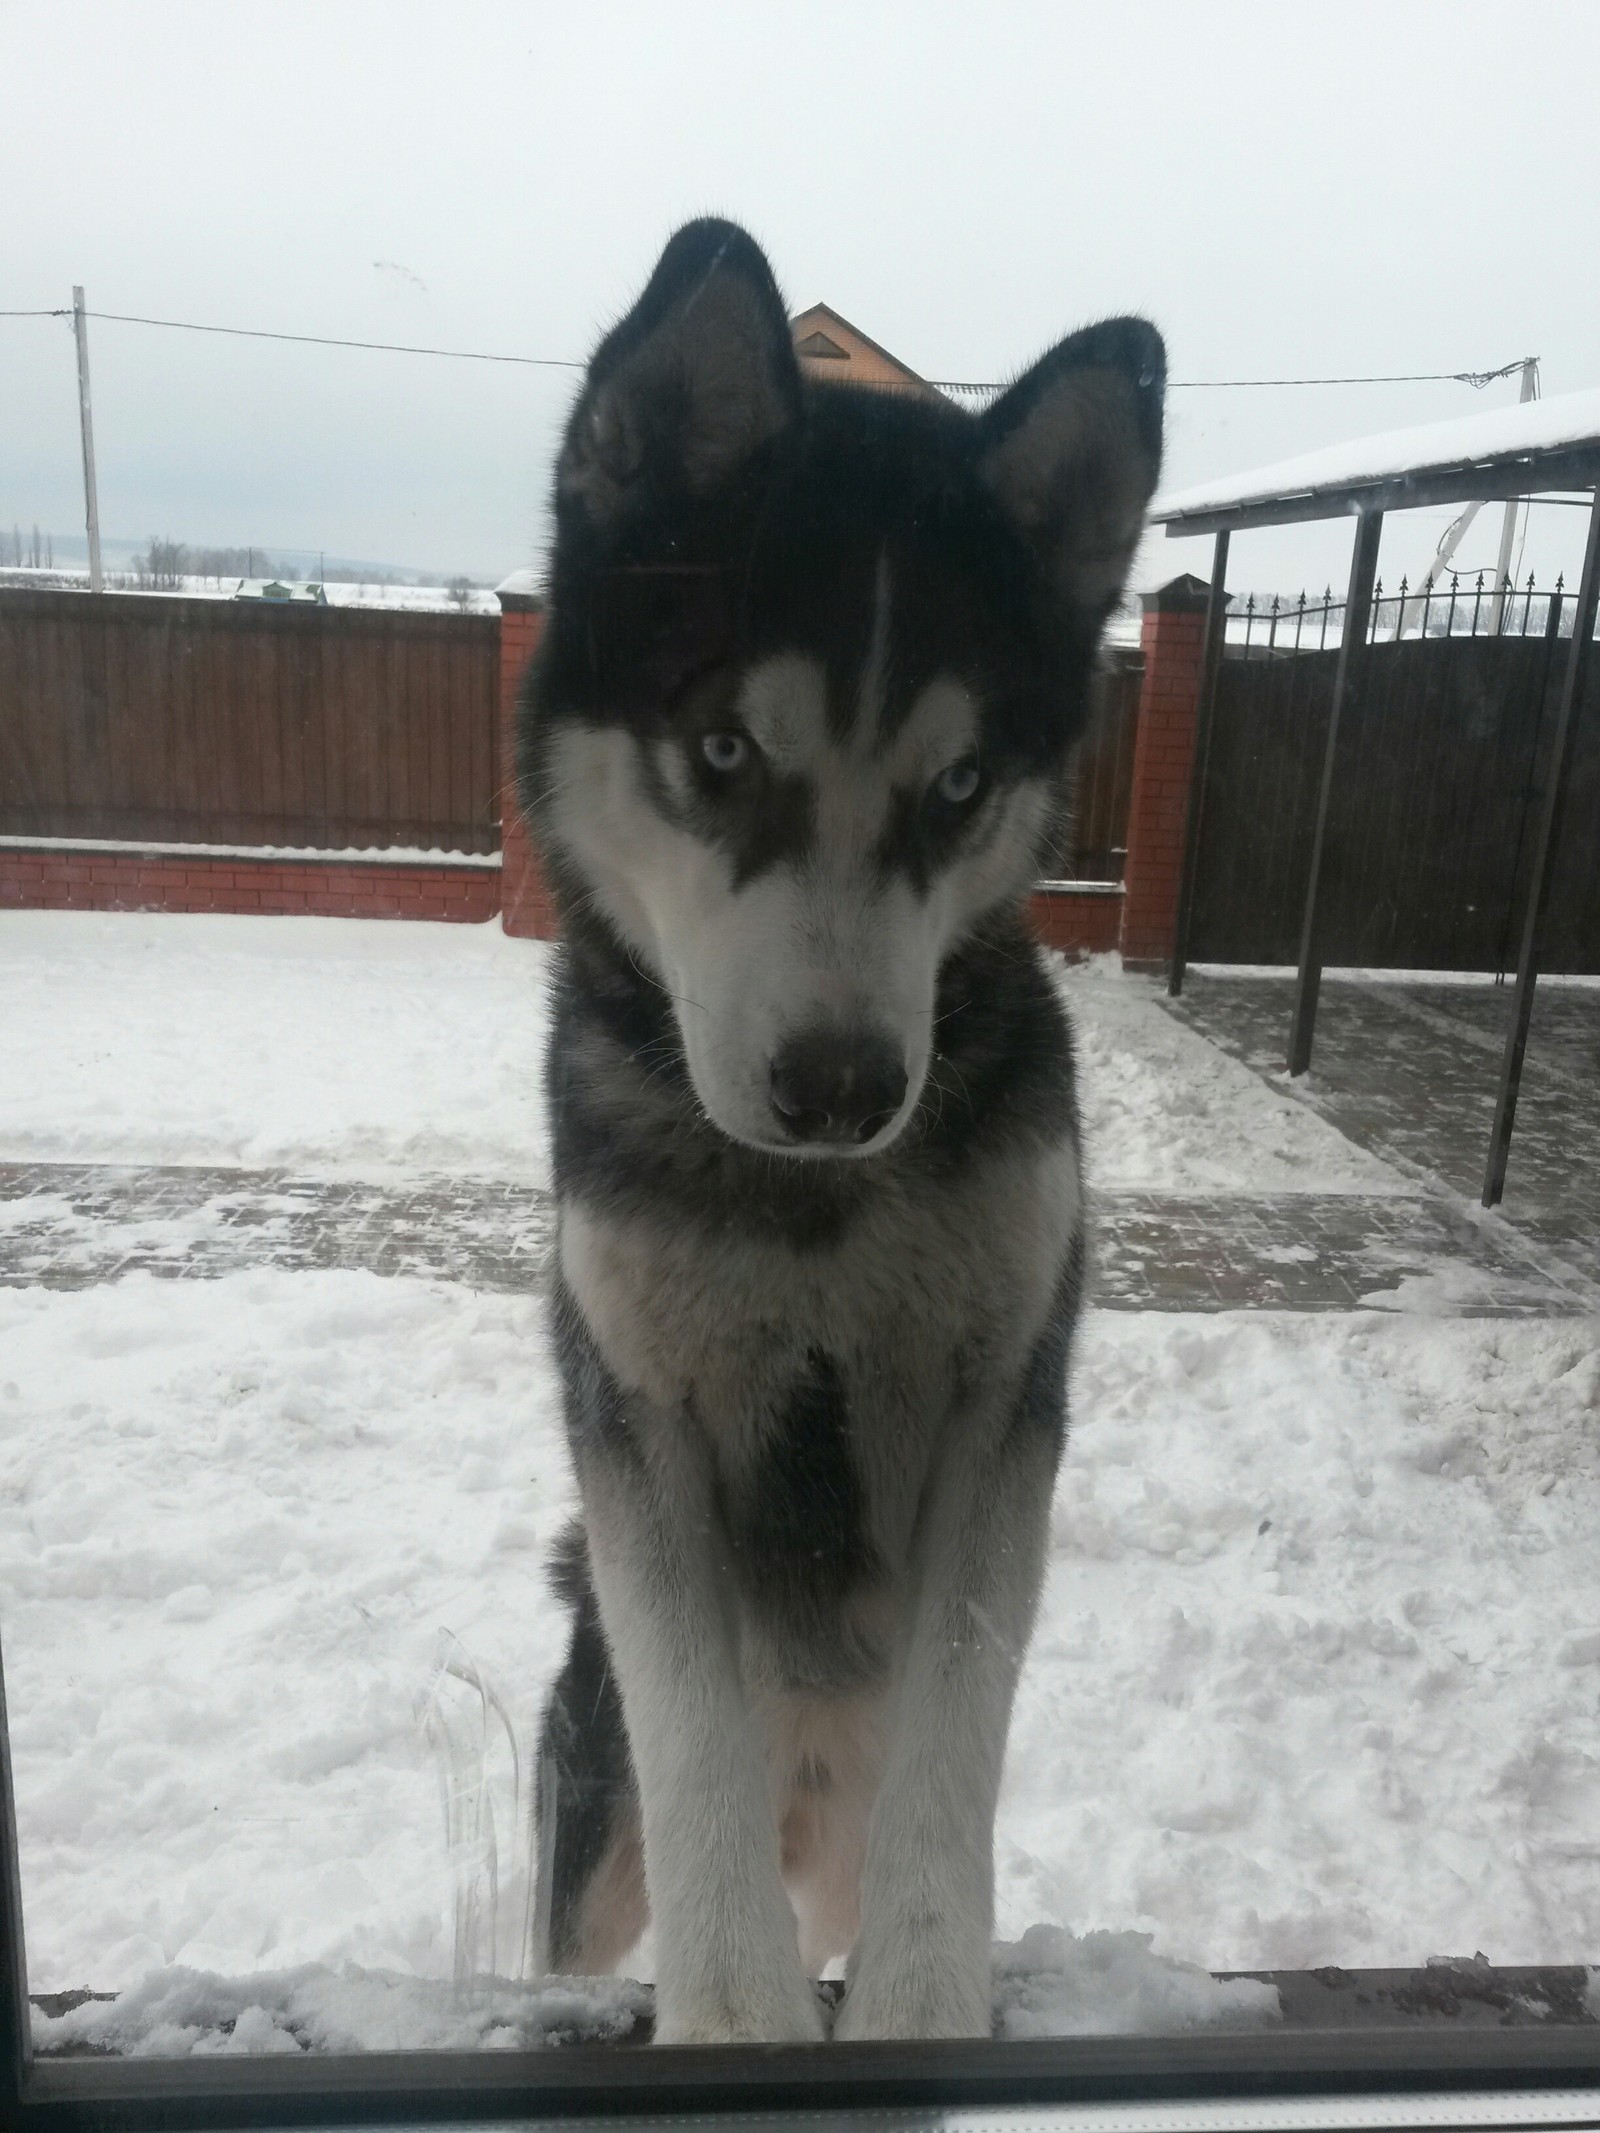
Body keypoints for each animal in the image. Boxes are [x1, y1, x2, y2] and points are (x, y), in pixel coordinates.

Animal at [526, 220, 1169, 2047]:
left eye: (959, 784)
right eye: (723, 746)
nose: (840, 1085)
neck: (808, 1206)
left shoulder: (1001, 1393)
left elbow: (960, 1720)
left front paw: (921, 1998)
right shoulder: (637, 1413)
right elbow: (694, 1729)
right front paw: (737, 2018)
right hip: (585, 1834)